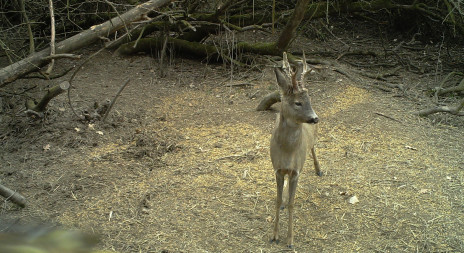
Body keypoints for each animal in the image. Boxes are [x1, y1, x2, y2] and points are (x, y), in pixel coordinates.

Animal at [270, 52, 320, 249]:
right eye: (298, 102)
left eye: (309, 100)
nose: (315, 118)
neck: (287, 152)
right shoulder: (277, 170)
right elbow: (278, 200)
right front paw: (275, 236)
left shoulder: (296, 171)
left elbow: (292, 203)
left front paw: (290, 240)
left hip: (313, 139)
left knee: (313, 147)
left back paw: (319, 169)